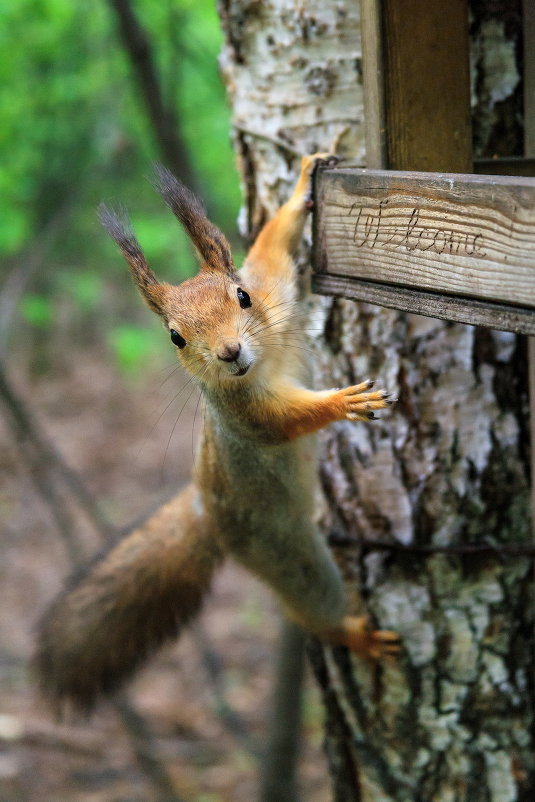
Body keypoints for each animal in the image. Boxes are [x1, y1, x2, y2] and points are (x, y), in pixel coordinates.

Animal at [36, 153, 398, 708]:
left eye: (243, 296)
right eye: (175, 337)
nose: (230, 352)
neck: (265, 360)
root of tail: (206, 511)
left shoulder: (275, 287)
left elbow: (272, 247)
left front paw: (303, 186)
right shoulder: (242, 415)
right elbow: (282, 421)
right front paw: (344, 401)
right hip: (279, 547)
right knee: (309, 598)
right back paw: (352, 633)